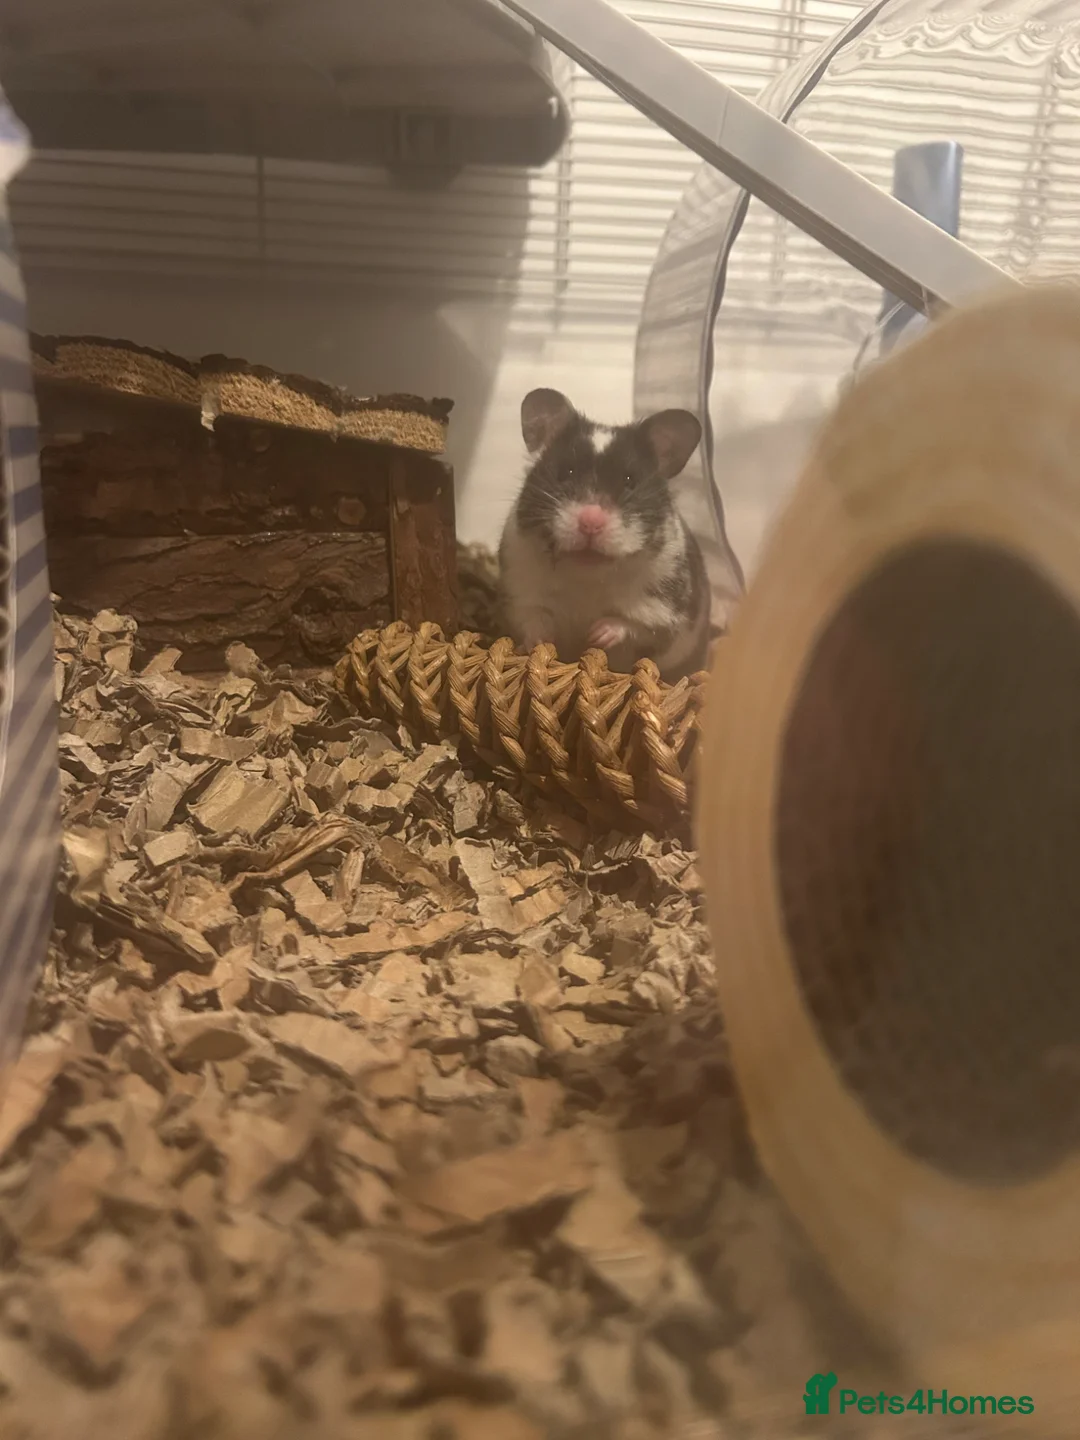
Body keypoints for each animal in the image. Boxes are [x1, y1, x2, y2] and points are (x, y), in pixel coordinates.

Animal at [498, 387, 711, 681]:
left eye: (629, 480)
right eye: (566, 472)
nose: (591, 522)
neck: (587, 578)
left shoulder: (663, 613)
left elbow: (632, 625)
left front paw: (596, 634)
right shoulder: (520, 594)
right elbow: (535, 621)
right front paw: (538, 644)